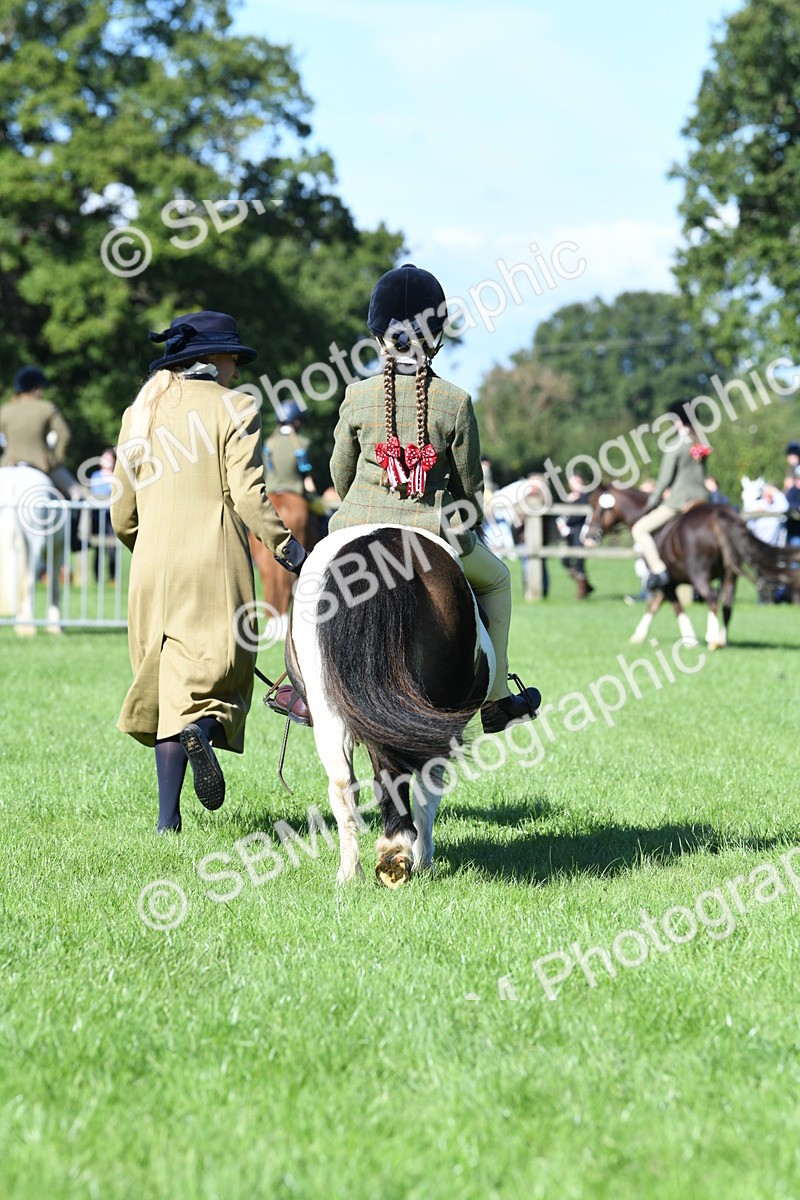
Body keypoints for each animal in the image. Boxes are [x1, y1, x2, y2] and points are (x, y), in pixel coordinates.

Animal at [0, 465, 64, 634]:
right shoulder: (57, 552)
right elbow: (54, 588)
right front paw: (55, 627)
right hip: (35, 548)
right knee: (28, 585)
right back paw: (27, 628)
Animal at [287, 524, 495, 887]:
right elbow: (428, 791)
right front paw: (424, 860)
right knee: (405, 777)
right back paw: (398, 852)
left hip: (331, 715)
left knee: (343, 786)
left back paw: (350, 872)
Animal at [582, 483, 800, 648]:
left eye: (598, 507)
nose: (588, 536)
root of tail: (717, 513)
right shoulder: (672, 581)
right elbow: (654, 606)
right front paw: (639, 635)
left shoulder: (666, 582)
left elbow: (674, 607)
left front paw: (689, 639)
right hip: (730, 574)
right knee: (727, 604)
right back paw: (723, 639)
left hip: (699, 574)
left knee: (712, 597)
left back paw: (713, 639)